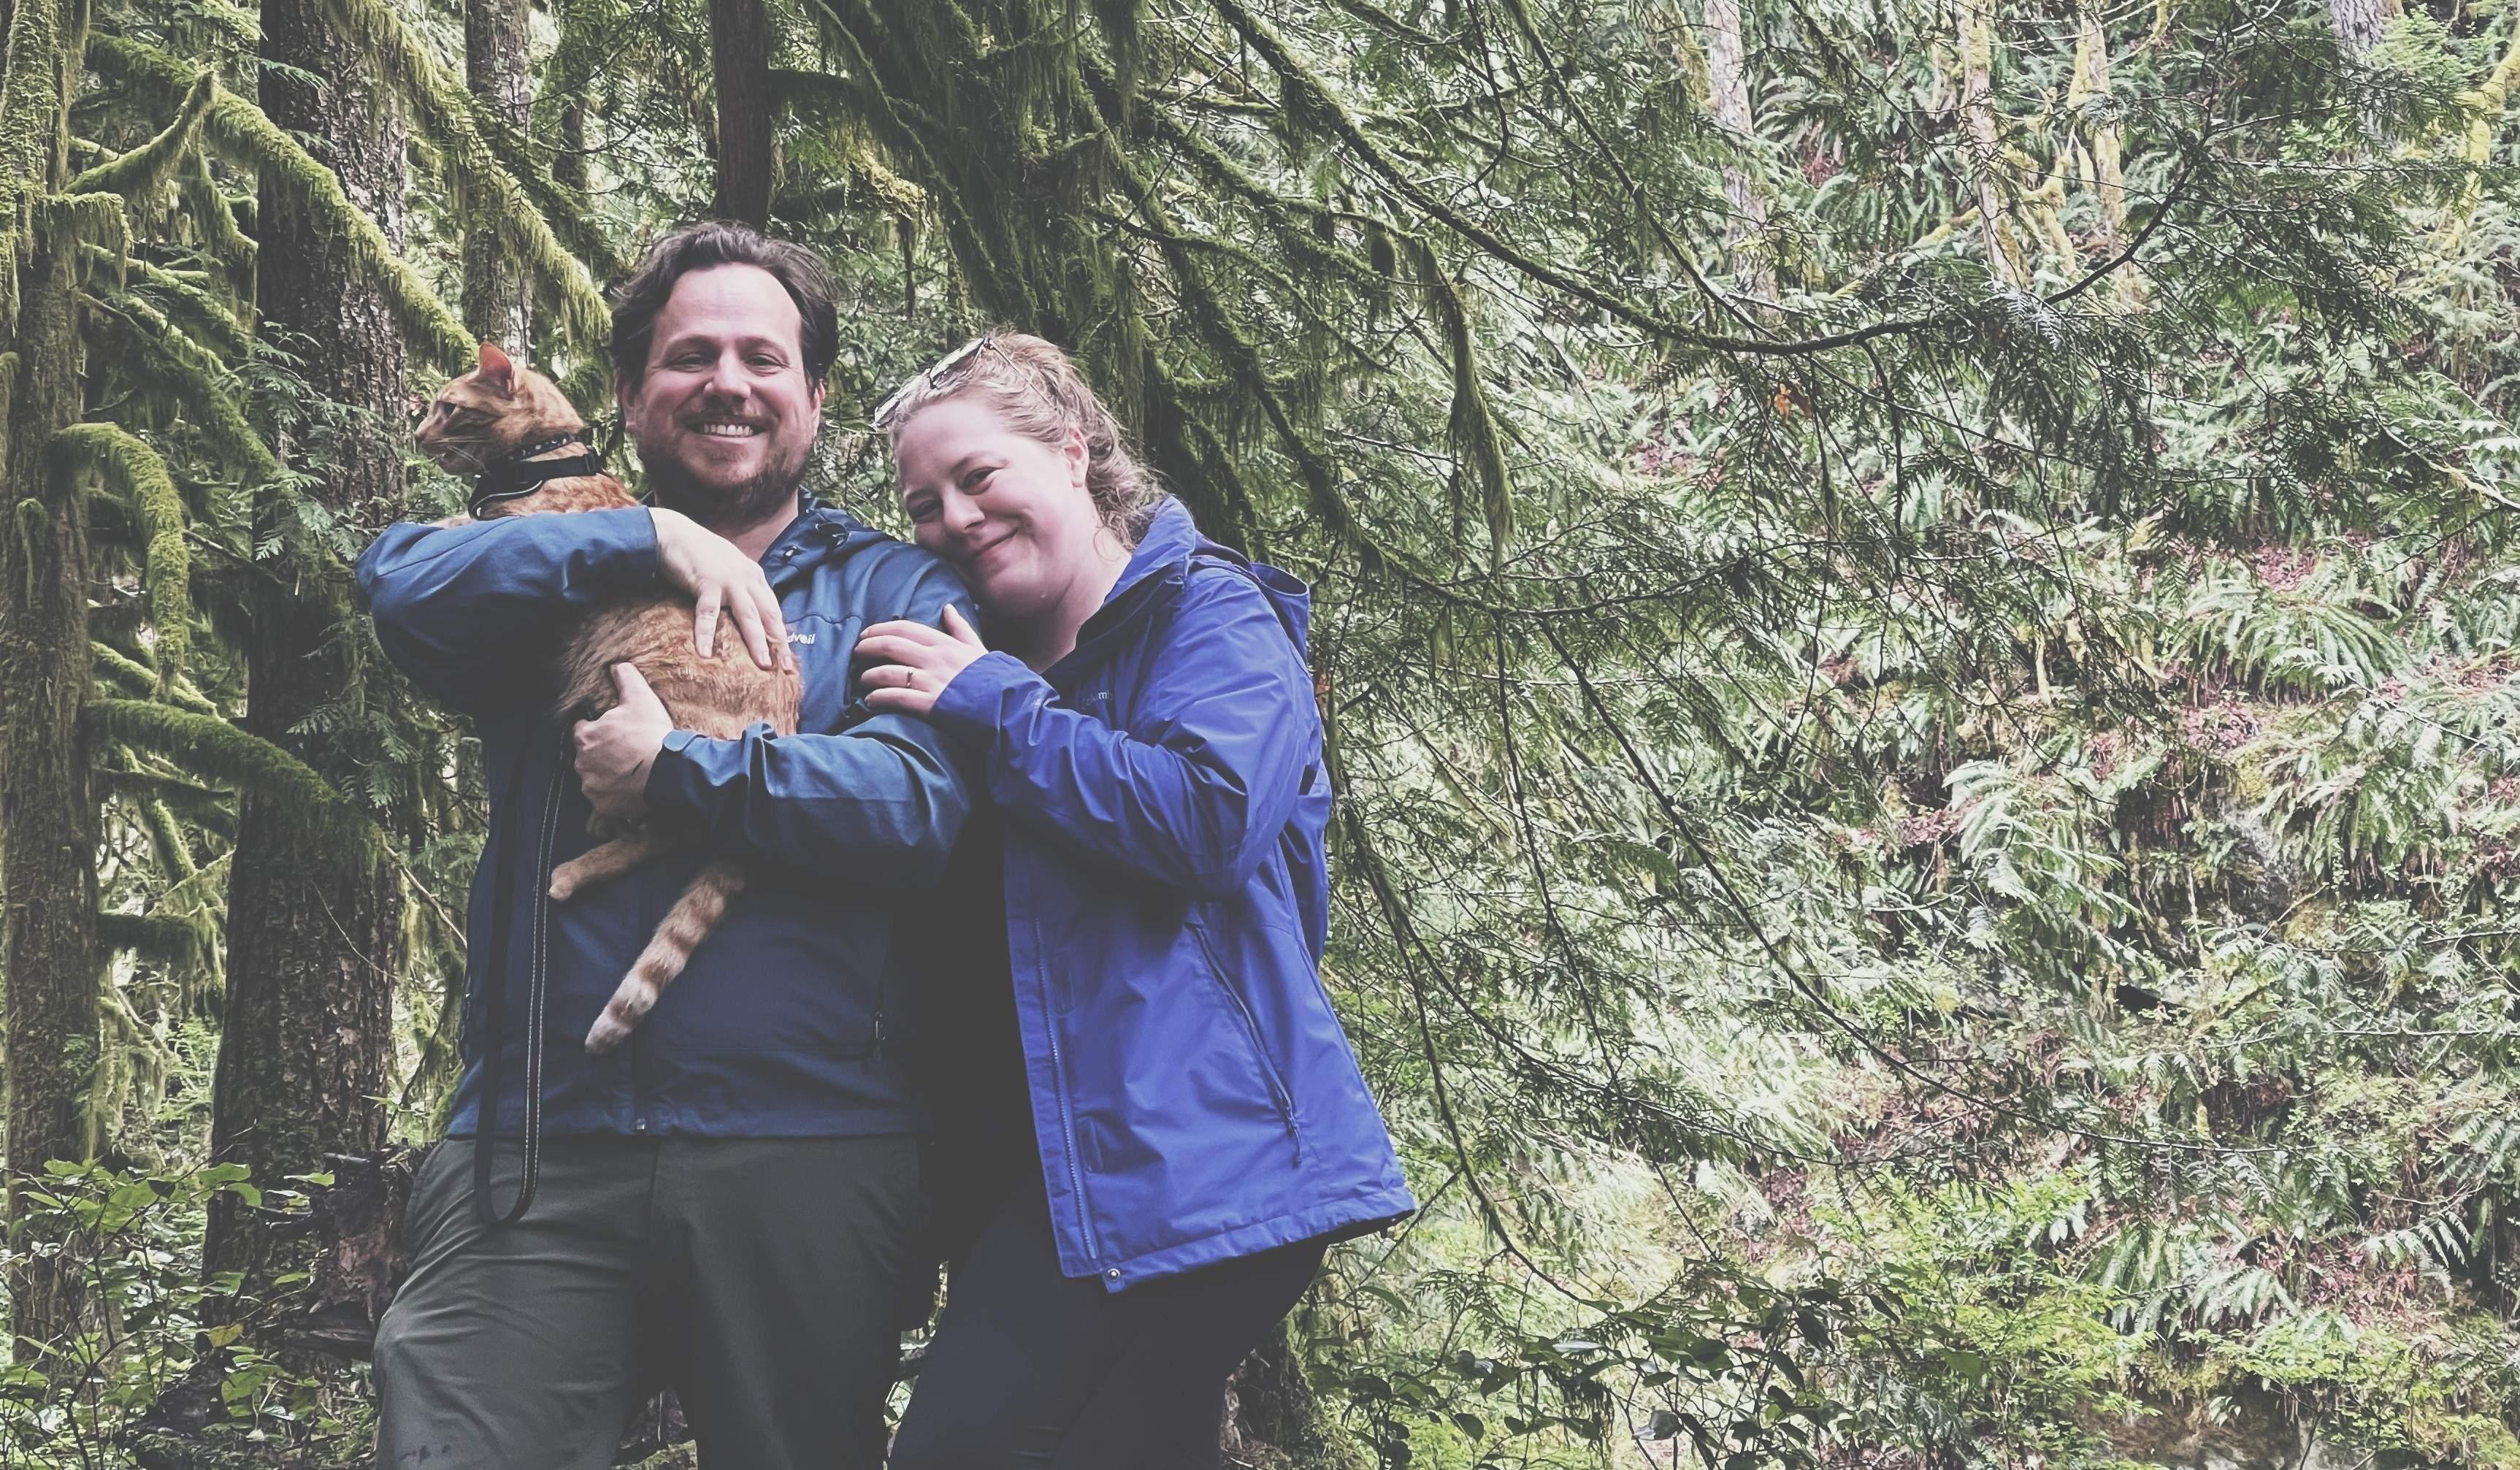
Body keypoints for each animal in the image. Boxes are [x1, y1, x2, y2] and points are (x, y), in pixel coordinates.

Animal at [415, 340, 803, 1055]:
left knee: (672, 829)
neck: (541, 458)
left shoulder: (509, 526)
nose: (419, 435)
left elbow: (464, 529)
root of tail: (784, 730)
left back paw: (573, 870)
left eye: (448, 408)